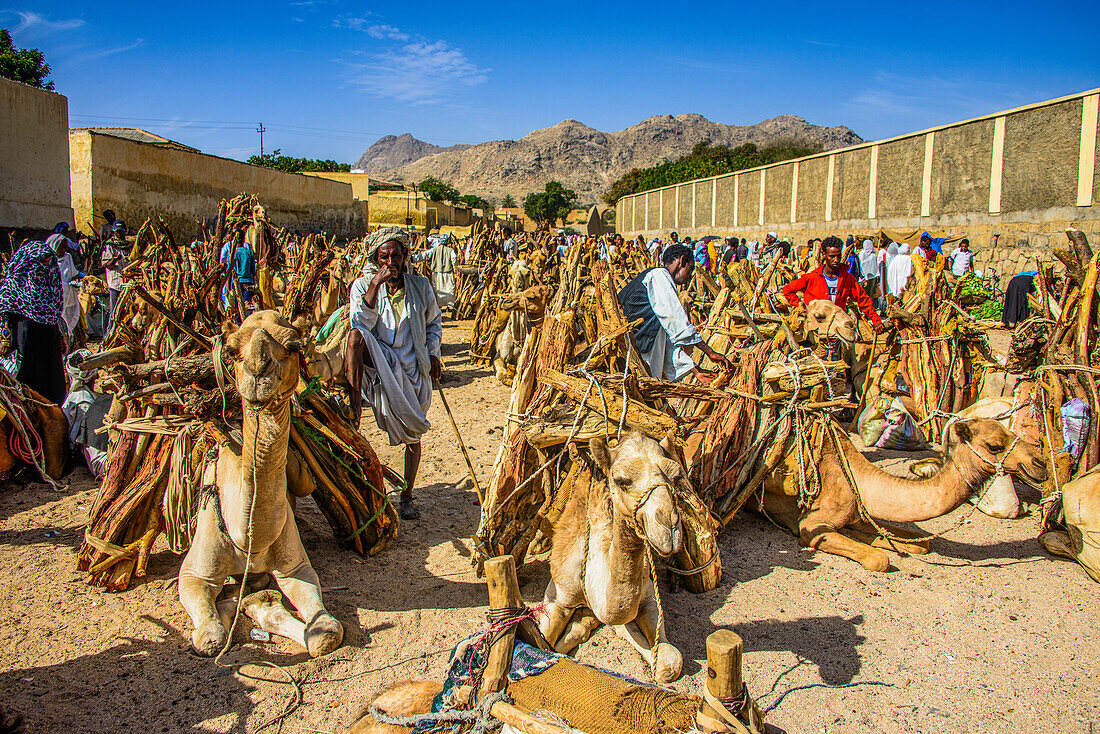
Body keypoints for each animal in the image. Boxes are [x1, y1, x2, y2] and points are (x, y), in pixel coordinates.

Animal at [178, 312, 341, 655]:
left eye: (293, 346)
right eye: (230, 350)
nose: (257, 371)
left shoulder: (296, 567)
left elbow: (325, 634)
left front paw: (260, 604)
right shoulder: (193, 574)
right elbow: (209, 637)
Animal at [536, 433, 682, 686]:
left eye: (676, 476)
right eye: (621, 480)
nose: (669, 527)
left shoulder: (647, 598)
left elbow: (669, 663)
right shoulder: (557, 595)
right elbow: (543, 641)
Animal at [761, 418, 1051, 567]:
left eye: (1011, 430)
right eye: (995, 446)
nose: (1040, 463)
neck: (858, 478)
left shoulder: (858, 514)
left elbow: (919, 543)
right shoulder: (812, 524)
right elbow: (877, 559)